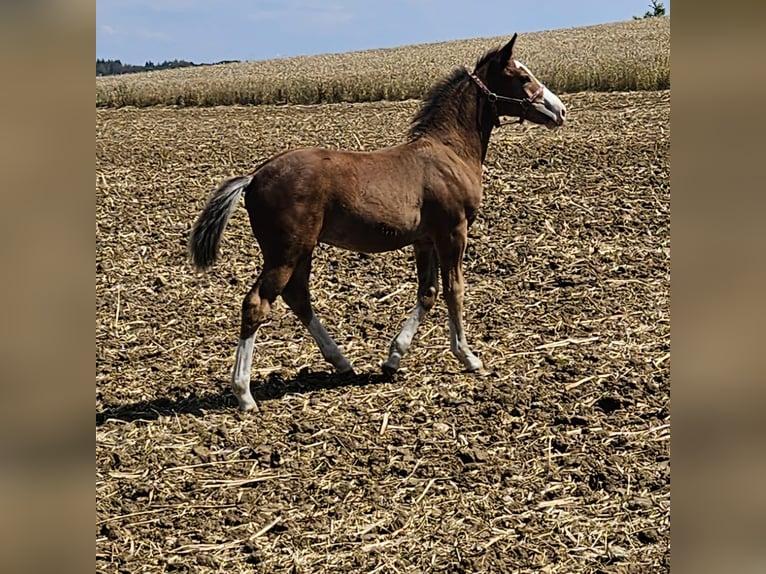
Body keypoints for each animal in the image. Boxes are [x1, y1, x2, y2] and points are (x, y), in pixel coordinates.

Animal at [189, 33, 568, 412]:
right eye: (522, 77)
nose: (560, 110)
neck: (450, 151)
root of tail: (254, 176)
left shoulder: (424, 239)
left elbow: (428, 293)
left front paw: (392, 359)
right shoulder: (453, 231)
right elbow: (454, 289)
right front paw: (468, 357)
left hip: (302, 249)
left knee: (297, 296)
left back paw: (342, 362)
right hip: (286, 250)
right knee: (257, 304)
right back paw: (244, 393)